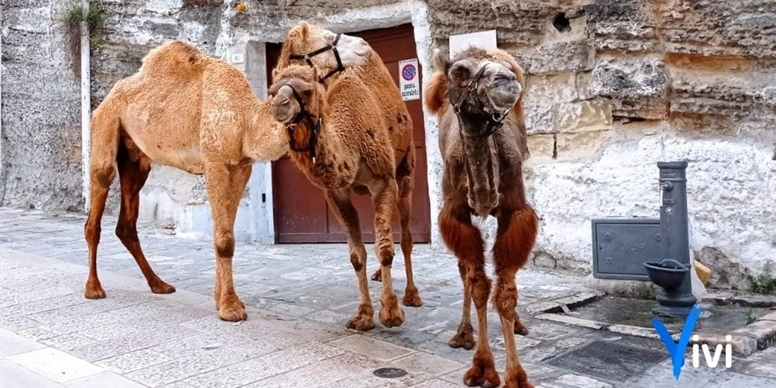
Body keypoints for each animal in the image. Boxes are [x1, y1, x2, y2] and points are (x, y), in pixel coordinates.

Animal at [83, 35, 372, 322]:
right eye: (325, 38)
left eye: (309, 89)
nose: (365, 47)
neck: (246, 121)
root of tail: (104, 102)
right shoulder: (215, 163)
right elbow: (224, 239)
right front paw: (230, 308)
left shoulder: (241, 167)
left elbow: (227, 234)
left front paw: (221, 299)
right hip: (106, 128)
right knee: (95, 209)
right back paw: (94, 288)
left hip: (136, 159)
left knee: (127, 222)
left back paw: (159, 284)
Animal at [276, 22, 424, 310]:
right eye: (325, 37)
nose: (364, 45)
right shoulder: (335, 192)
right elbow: (357, 254)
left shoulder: (383, 178)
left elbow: (385, 246)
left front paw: (392, 307)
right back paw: (378, 274)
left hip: (406, 169)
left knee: (406, 235)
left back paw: (411, 293)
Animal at [424, 46, 540, 388]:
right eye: (460, 71)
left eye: (505, 69)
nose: (507, 80)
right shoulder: (455, 214)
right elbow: (477, 284)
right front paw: (483, 368)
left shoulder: (515, 211)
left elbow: (505, 292)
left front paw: (516, 375)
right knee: (464, 271)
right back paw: (463, 333)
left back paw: (518, 324)